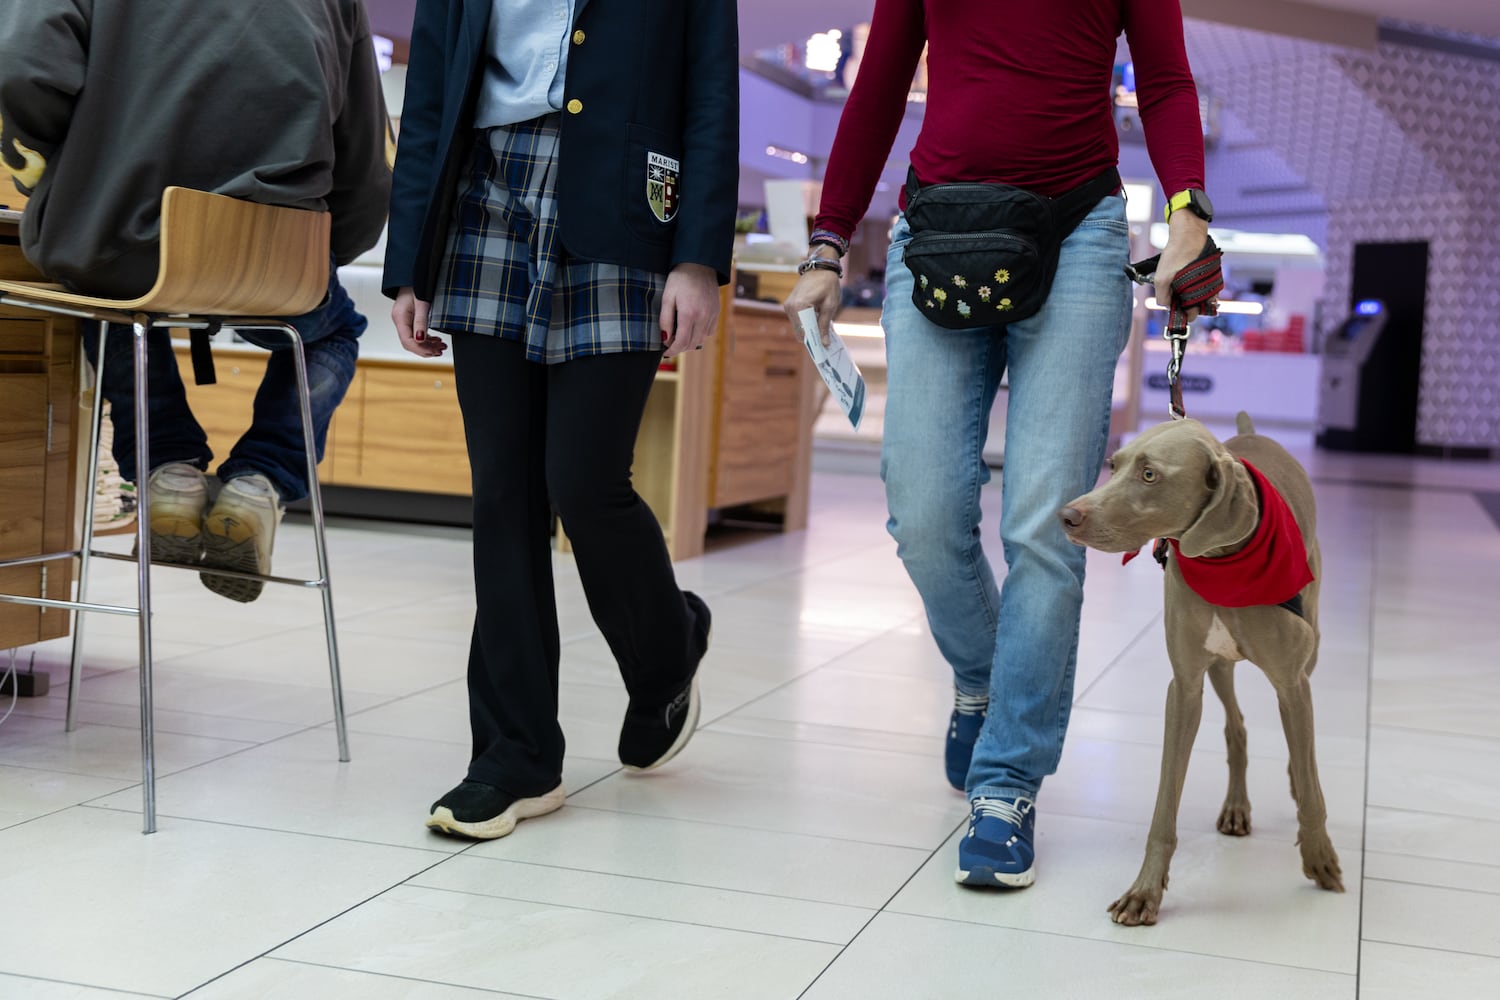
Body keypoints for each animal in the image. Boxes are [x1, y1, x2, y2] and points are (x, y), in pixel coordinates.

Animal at [1056, 410, 1350, 929]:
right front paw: (1145, 891)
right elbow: (1164, 805)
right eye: (1114, 464)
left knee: (1301, 751)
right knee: (1237, 727)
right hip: (1219, 668)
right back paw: (1236, 806)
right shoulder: (1185, 686)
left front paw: (1319, 857)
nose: (1067, 515)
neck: (1223, 560)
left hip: (1310, 650)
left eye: (1149, 474)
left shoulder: (1292, 684)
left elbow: (1312, 784)